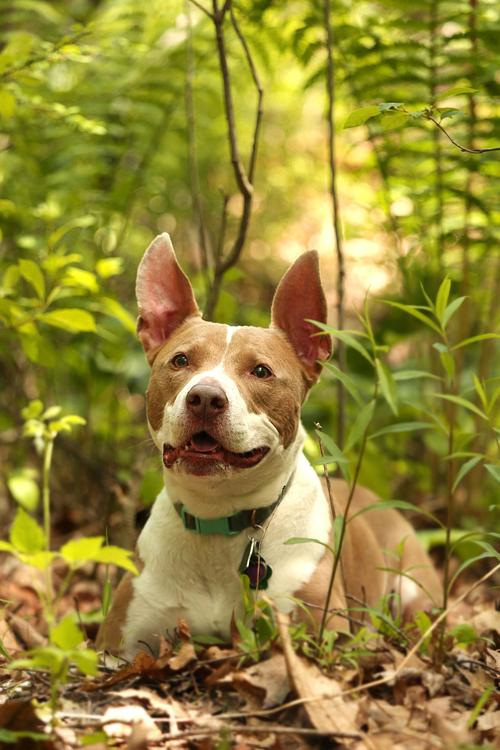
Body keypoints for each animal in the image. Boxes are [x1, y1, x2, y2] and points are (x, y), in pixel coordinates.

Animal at [97, 233, 441, 658]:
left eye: (261, 371)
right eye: (180, 361)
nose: (205, 397)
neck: (218, 517)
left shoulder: (312, 628)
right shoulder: (118, 644)